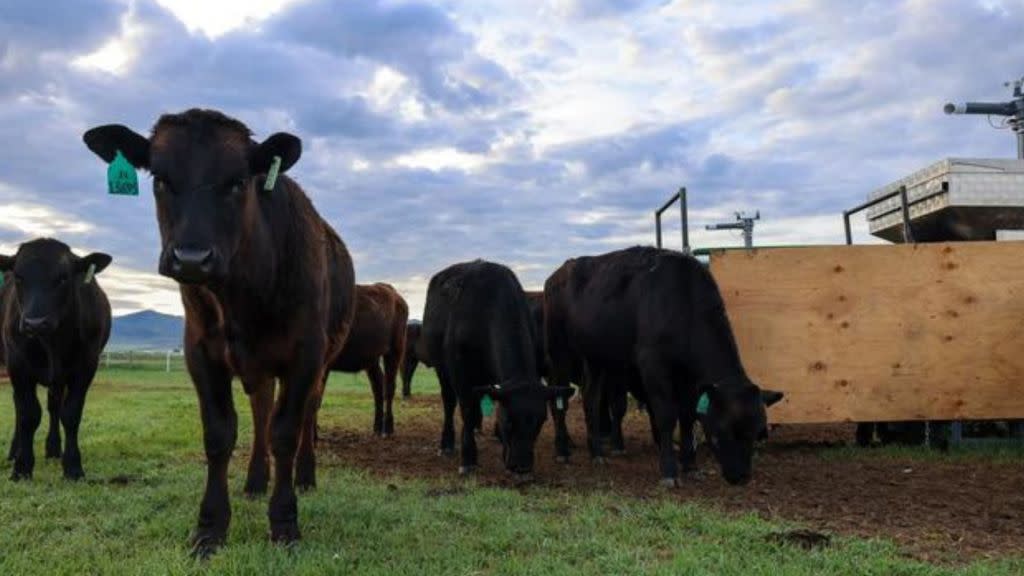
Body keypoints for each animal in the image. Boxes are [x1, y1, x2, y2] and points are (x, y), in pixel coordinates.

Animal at [0, 239, 111, 481]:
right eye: (19, 277)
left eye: (63, 278)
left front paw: (73, 467)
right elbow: (28, 414)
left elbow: (70, 414)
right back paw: (15, 451)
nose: (34, 323)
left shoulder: (86, 365)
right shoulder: (17, 364)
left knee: (54, 406)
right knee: (20, 407)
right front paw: (22, 467)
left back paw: (53, 449)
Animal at [83, 109, 356, 554]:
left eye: (238, 181)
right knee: (261, 410)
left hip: (321, 362)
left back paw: (304, 476)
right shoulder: (201, 353)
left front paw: (284, 523)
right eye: (159, 179)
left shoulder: (306, 355)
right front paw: (210, 527)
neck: (242, 298)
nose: (192, 258)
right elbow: (219, 434)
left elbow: (286, 431)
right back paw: (255, 480)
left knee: (304, 414)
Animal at [325, 283, 407, 437]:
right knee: (378, 385)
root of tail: (394, 293)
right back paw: (377, 427)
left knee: (389, 387)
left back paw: (388, 428)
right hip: (372, 358)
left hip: (395, 350)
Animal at [417, 260, 573, 480]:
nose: (522, 467)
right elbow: (467, 411)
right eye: (509, 421)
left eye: (540, 422)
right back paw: (447, 444)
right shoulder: (460, 371)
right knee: (449, 402)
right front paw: (468, 459)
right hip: (442, 369)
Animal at [546, 246, 782, 486]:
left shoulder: (689, 379)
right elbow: (667, 415)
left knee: (591, 399)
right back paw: (563, 450)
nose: (741, 477)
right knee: (560, 400)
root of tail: (559, 272)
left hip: (595, 357)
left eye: (758, 432)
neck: (684, 301)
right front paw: (669, 471)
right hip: (558, 351)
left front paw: (690, 466)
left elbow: (687, 416)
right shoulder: (653, 366)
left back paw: (596, 453)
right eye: (722, 430)